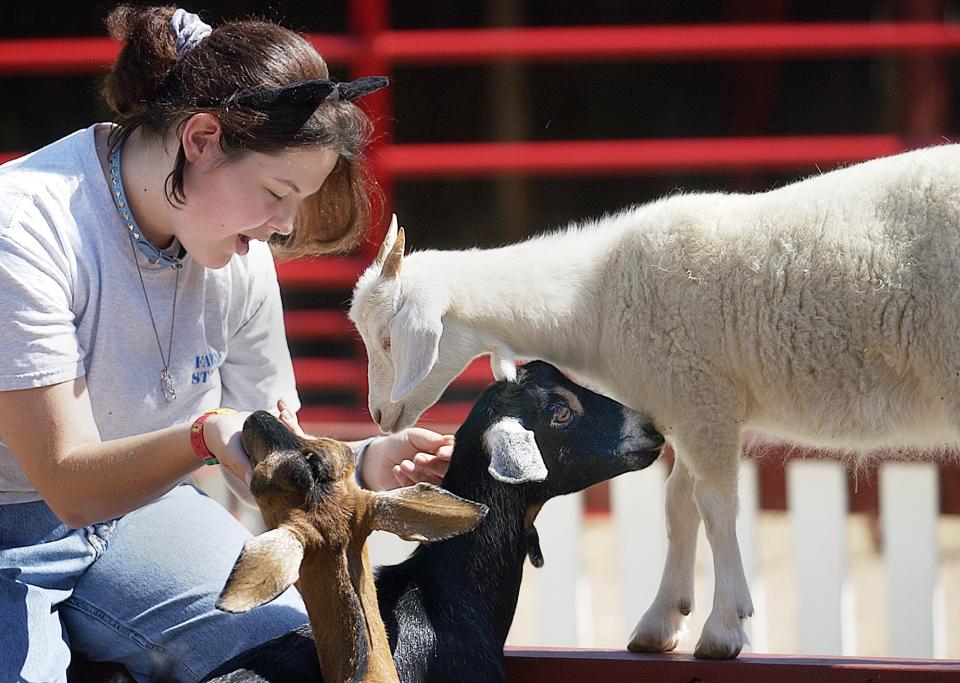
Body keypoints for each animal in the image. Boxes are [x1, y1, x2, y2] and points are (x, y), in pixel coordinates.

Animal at [348, 146, 960, 664]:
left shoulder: (702, 398)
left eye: (386, 339)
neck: (597, 296)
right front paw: (663, 619)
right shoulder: (683, 407)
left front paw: (725, 625)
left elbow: (716, 508)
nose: (379, 417)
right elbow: (678, 507)